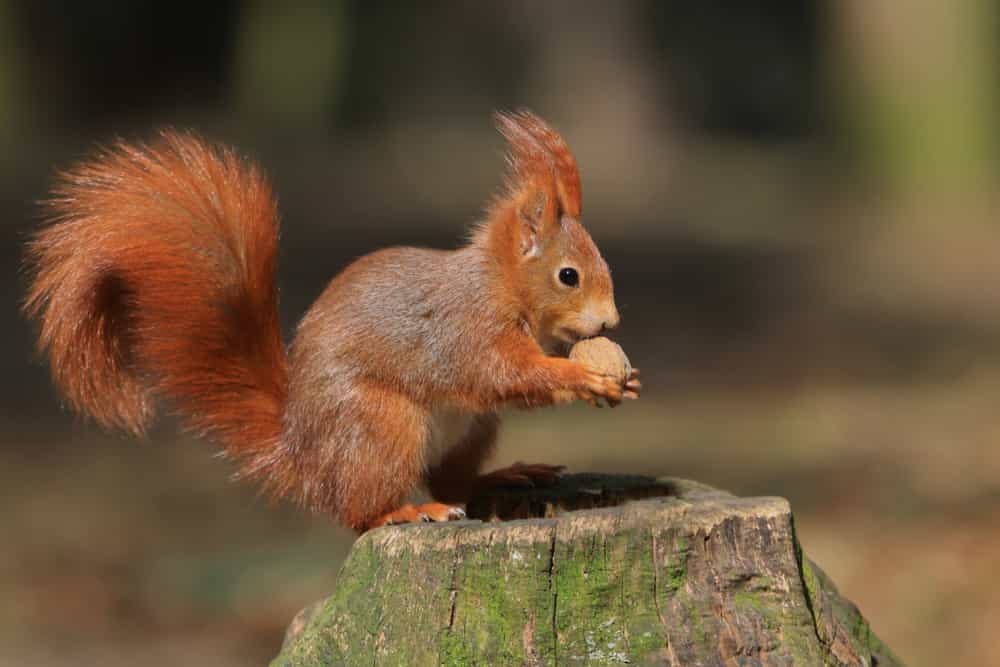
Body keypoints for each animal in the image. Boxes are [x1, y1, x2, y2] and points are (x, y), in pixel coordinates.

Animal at [27, 113, 644, 532]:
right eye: (569, 275)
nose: (611, 320)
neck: (499, 284)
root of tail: (304, 456)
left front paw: (622, 376)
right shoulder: (462, 329)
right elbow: (500, 373)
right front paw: (581, 377)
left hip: (470, 430)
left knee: (452, 478)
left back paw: (500, 476)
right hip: (381, 426)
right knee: (359, 512)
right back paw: (404, 512)